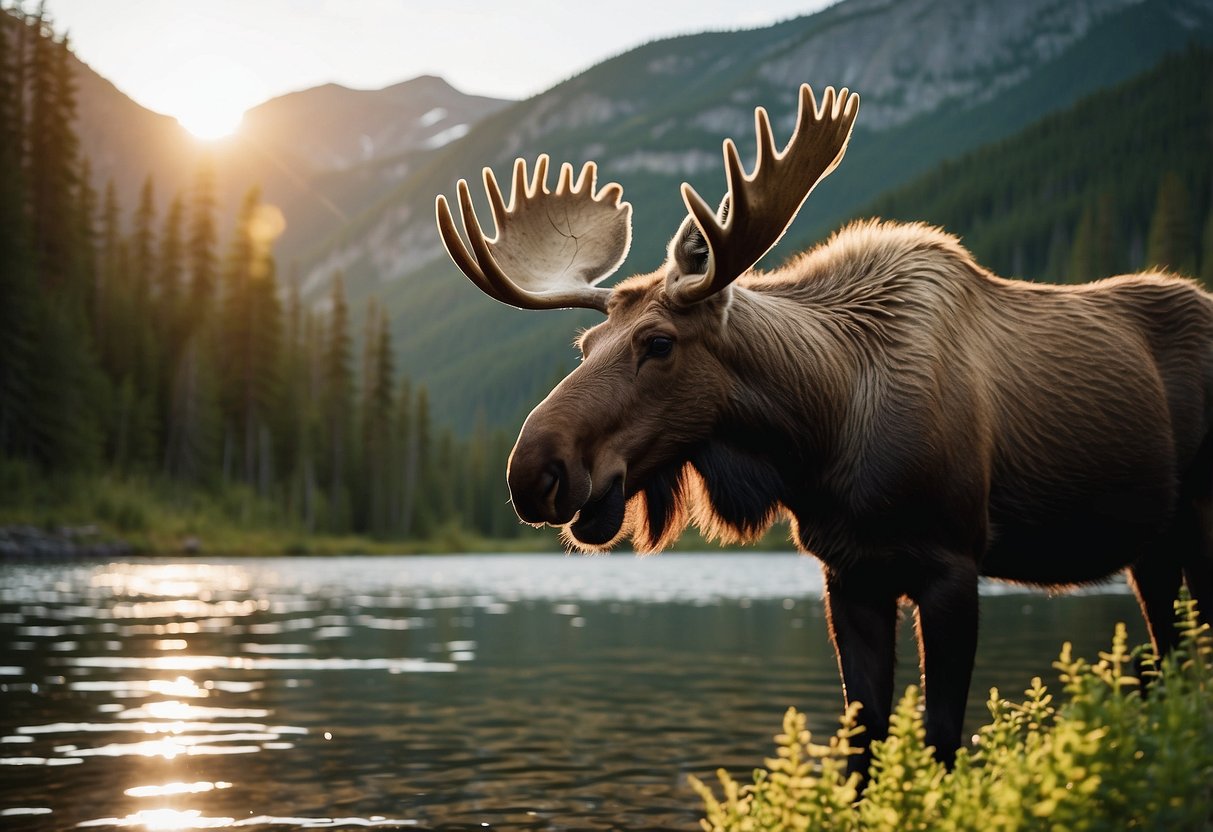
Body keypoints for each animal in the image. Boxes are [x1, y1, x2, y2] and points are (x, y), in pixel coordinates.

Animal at [436, 87, 1213, 771]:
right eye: (584, 347)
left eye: (657, 343)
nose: (534, 470)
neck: (820, 434)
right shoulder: (849, 574)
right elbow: (862, 743)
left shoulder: (952, 564)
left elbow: (939, 740)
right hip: (1152, 547)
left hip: (1194, 532)